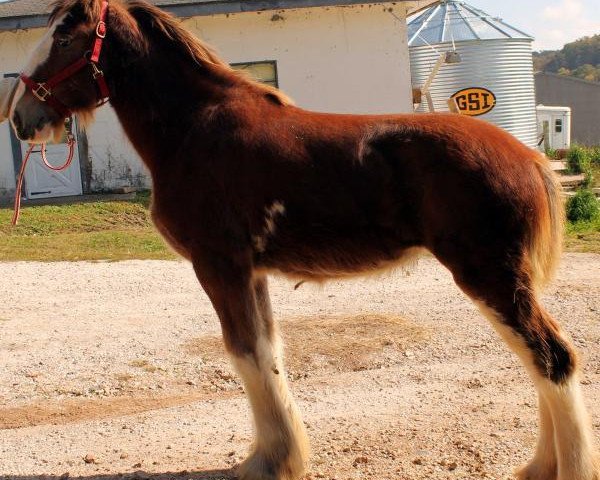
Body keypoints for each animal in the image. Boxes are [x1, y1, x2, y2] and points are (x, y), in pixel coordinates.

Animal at [7, 0, 596, 480]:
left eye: (66, 37)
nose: (20, 117)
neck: (194, 128)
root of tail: (531, 158)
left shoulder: (219, 266)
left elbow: (245, 354)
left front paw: (269, 462)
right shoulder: (251, 272)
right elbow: (268, 354)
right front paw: (280, 454)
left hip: (490, 277)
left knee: (553, 358)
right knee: (541, 360)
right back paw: (539, 467)